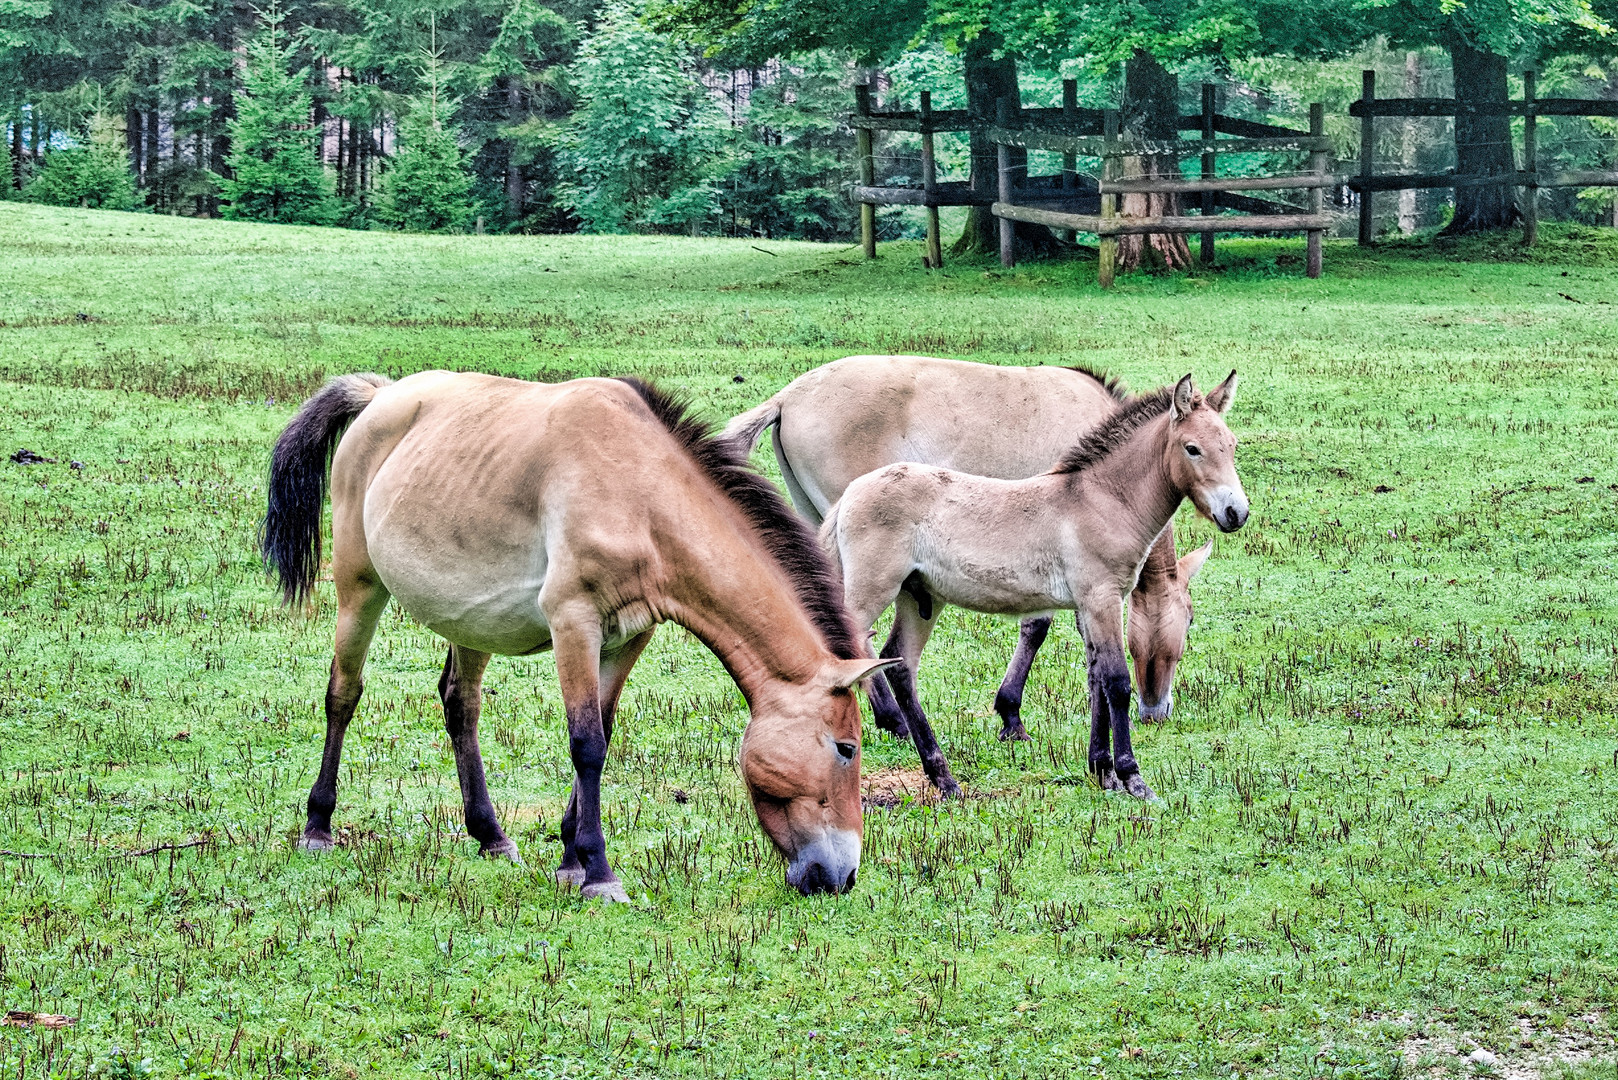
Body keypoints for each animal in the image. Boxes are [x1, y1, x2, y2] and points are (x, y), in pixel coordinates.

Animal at [265, 375, 899, 900]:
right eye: (846, 748)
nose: (843, 875)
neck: (639, 493)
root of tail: (381, 396)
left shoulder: (628, 636)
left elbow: (603, 731)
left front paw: (570, 855)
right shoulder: (574, 622)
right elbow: (586, 743)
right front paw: (598, 873)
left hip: (469, 618)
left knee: (459, 704)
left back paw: (491, 834)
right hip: (359, 588)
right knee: (343, 695)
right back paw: (318, 826)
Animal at [821, 375, 1249, 799]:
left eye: (1231, 444)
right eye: (1192, 448)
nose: (1236, 513)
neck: (1100, 500)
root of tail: (849, 495)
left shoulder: (1088, 605)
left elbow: (1096, 678)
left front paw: (1102, 771)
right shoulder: (1102, 598)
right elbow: (1117, 682)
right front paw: (1132, 778)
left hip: (920, 599)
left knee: (901, 664)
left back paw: (944, 778)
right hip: (870, 594)